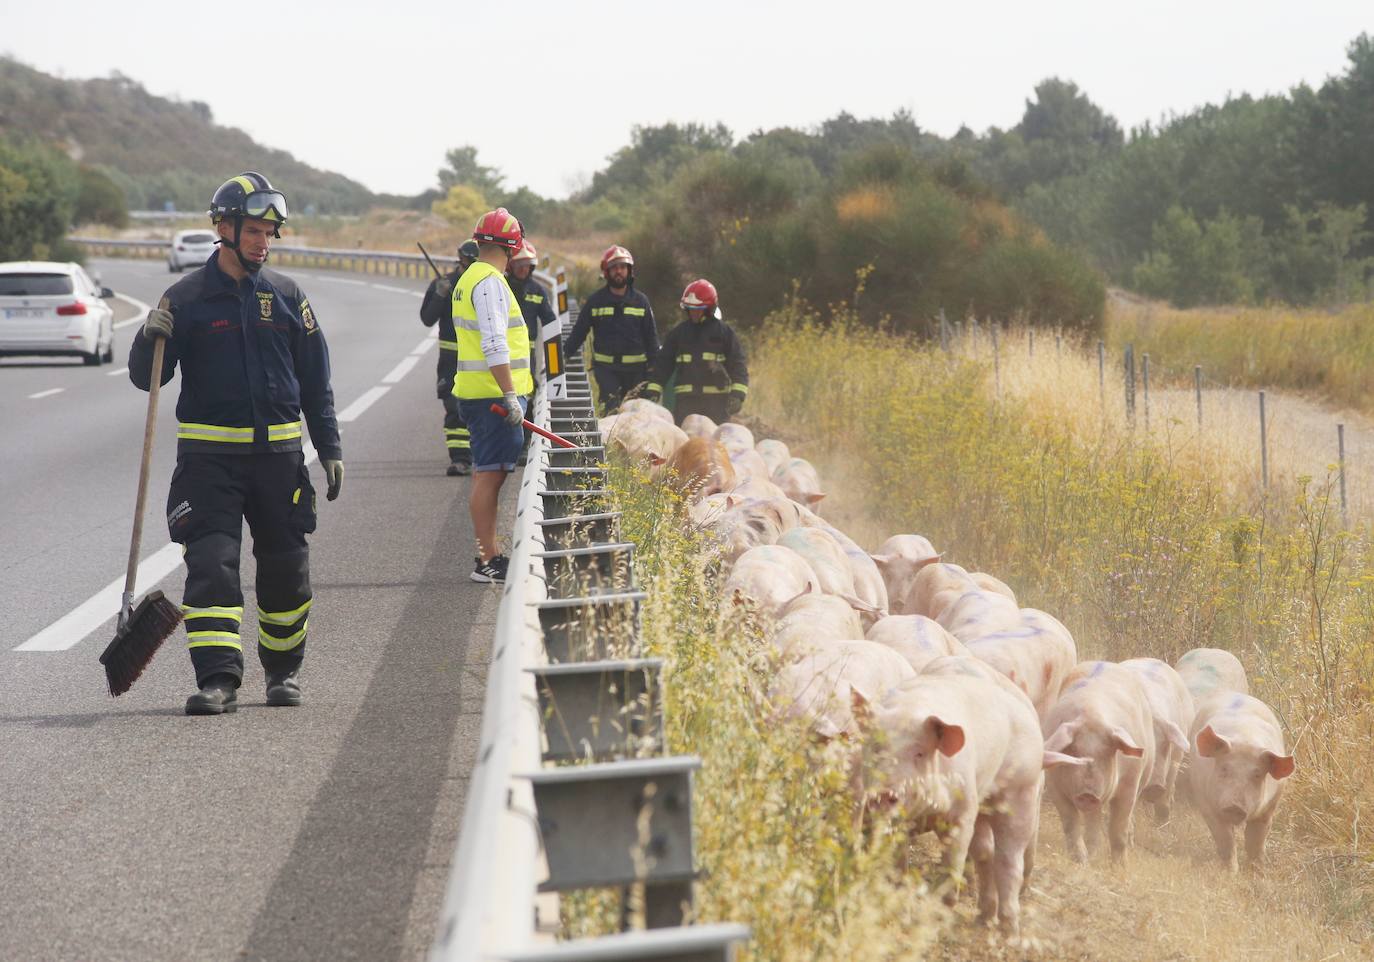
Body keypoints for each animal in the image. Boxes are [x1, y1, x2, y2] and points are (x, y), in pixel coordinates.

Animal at [862, 673, 1044, 934]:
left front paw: (939, 911)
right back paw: (984, 920)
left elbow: (953, 861)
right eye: (876, 746)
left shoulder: (963, 810)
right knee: (985, 852)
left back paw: (1009, 932)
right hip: (983, 806)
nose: (884, 793)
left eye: (919, 753)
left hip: (1022, 791)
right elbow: (898, 869)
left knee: (1009, 859)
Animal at [1044, 662, 1154, 863]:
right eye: (1073, 751)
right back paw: (1092, 855)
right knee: (1092, 824)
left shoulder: (1130, 784)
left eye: (1107, 752)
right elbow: (1070, 823)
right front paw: (1081, 861)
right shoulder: (1054, 784)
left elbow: (1118, 829)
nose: (1088, 793)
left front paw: (1120, 866)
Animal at [1187, 692, 1291, 874]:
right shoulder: (1206, 803)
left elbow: (1255, 840)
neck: (1245, 738)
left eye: (1257, 774)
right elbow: (1225, 840)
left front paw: (1258, 872)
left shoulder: (1270, 807)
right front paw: (1230, 873)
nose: (1234, 806)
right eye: (1224, 768)